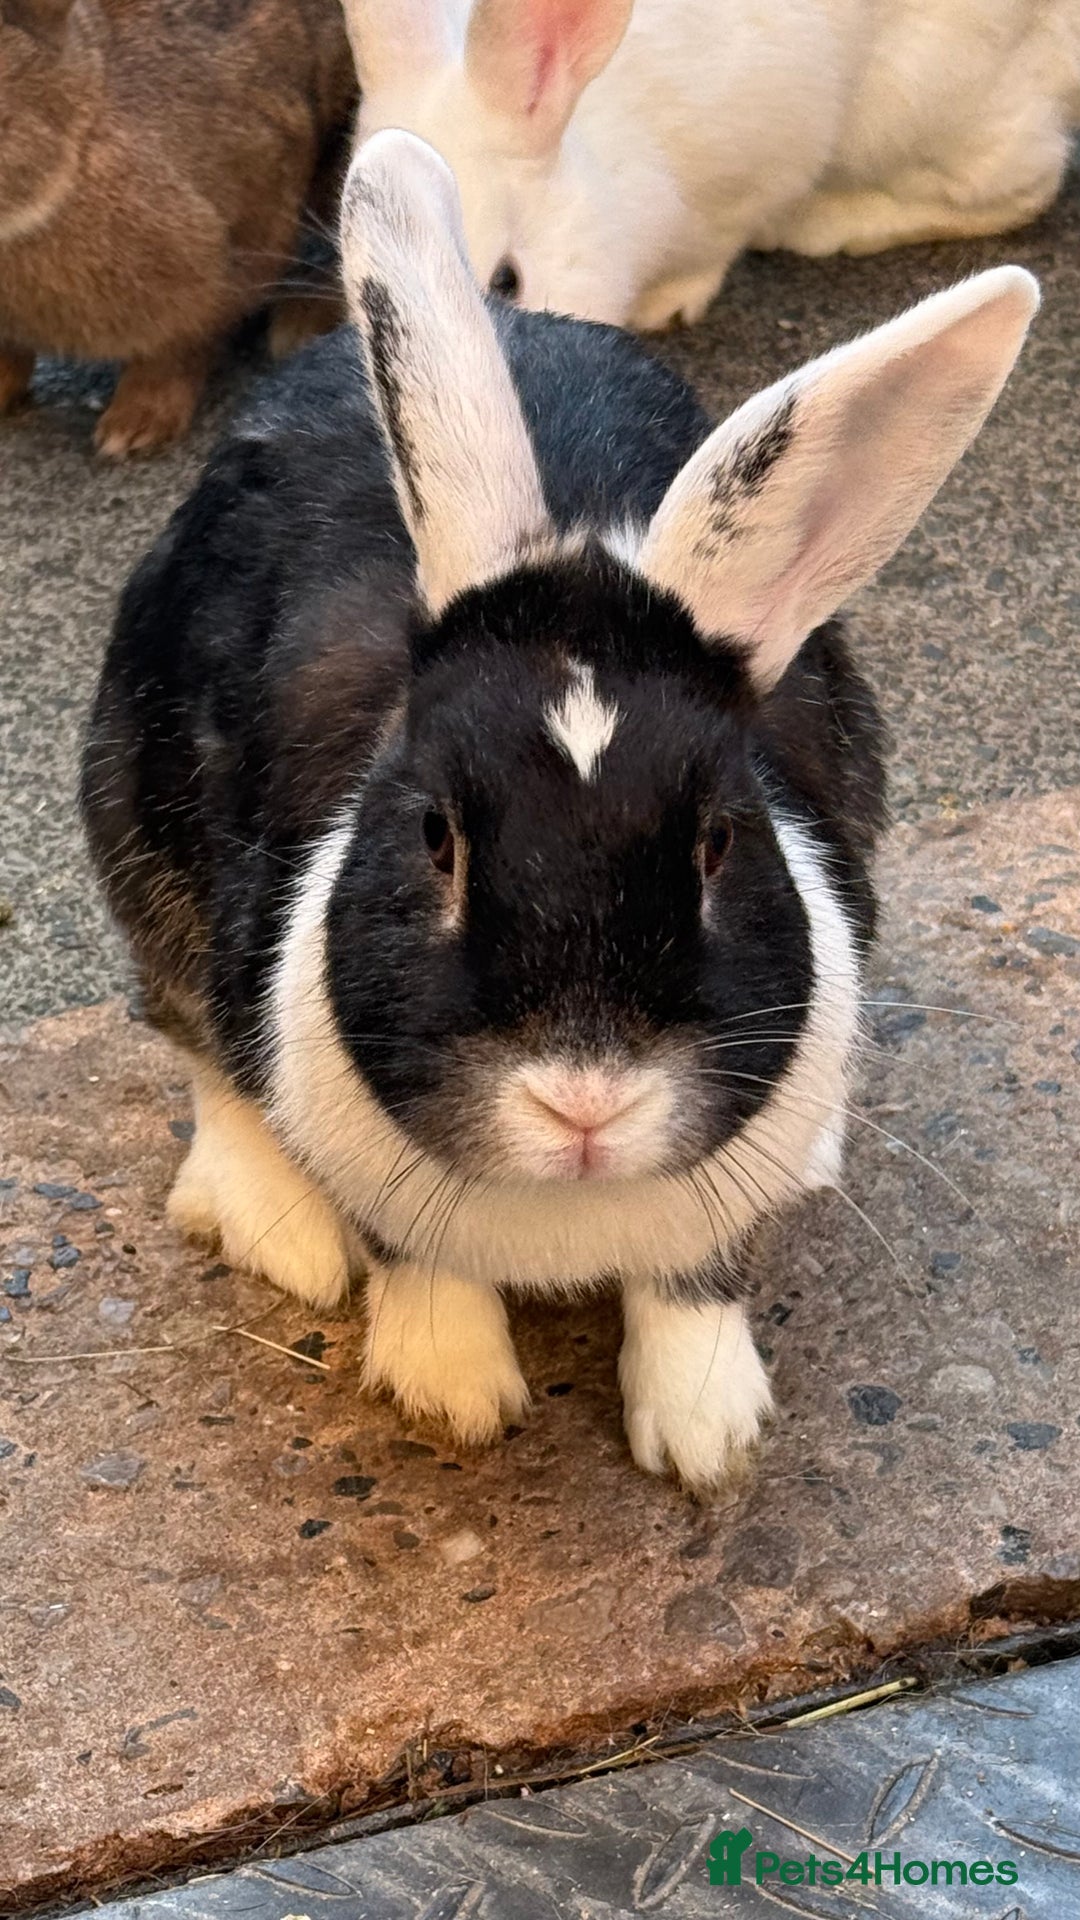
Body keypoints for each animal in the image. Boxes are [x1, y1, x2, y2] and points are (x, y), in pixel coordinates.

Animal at [81, 128, 1037, 1491]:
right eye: (435, 835)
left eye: (718, 841)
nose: (585, 1103)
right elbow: (419, 1254)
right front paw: (450, 1389)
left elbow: (694, 1285)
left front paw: (709, 1435)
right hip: (135, 812)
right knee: (192, 1039)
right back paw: (283, 1233)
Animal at [342, 0, 1077, 330]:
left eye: (507, 280)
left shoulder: (750, 173)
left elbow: (717, 248)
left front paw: (664, 306)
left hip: (927, 97)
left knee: (1022, 186)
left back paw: (827, 223)